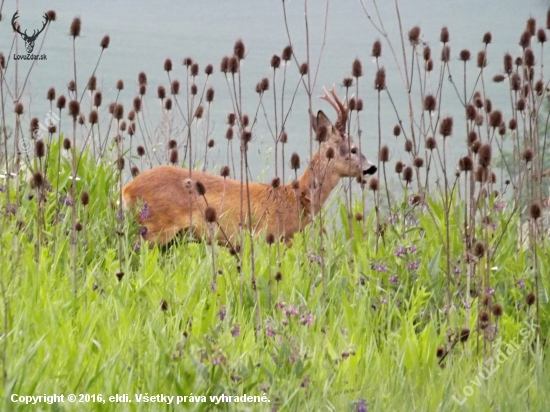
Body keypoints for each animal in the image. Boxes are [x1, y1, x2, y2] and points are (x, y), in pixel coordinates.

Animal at [122, 83, 378, 245]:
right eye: (353, 148)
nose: (372, 167)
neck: (295, 198)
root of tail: (126, 189)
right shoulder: (271, 236)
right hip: (156, 228)